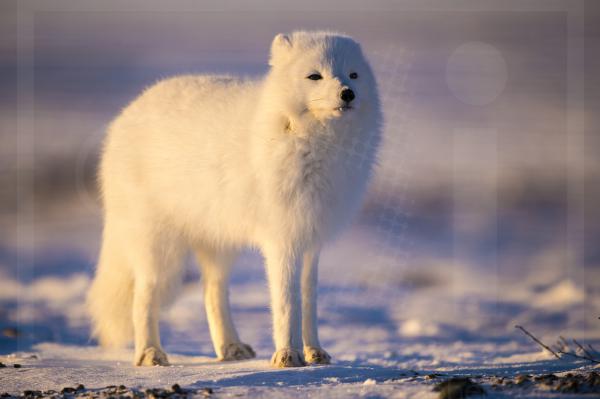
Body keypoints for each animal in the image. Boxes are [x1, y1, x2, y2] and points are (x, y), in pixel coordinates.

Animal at [86, 30, 382, 368]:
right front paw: (288, 355)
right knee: (143, 296)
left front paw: (314, 352)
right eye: (314, 76)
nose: (348, 93)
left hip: (219, 243)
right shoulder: (283, 239)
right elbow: (287, 303)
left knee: (212, 292)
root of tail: (127, 113)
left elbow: (309, 300)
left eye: (354, 75)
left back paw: (230, 347)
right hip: (156, 244)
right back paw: (149, 353)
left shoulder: (311, 239)